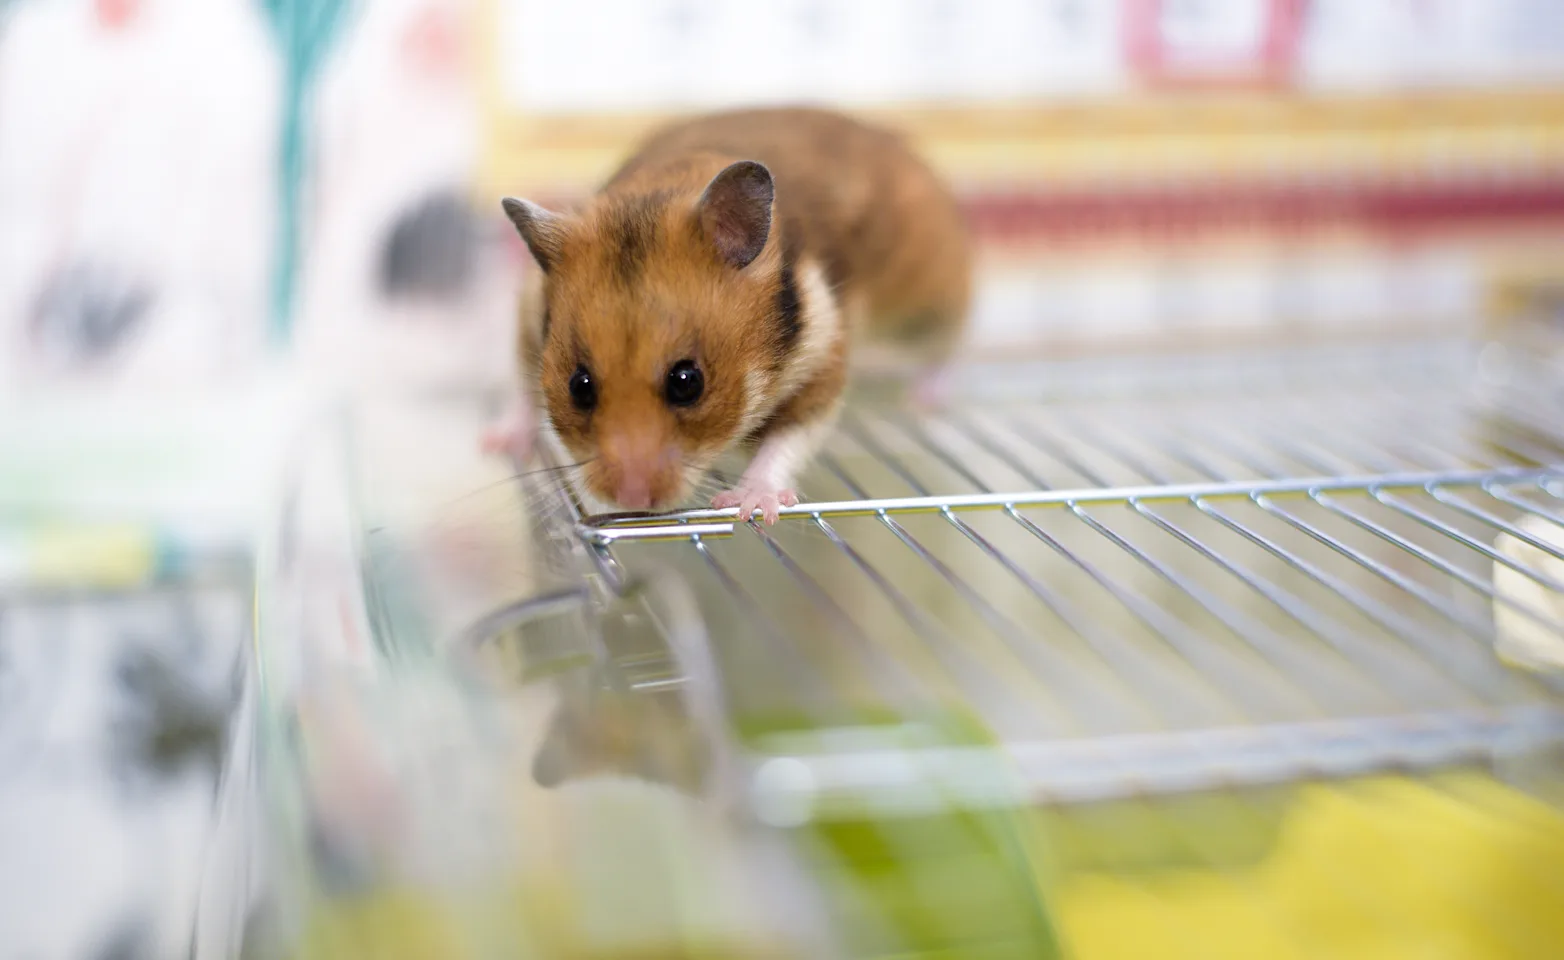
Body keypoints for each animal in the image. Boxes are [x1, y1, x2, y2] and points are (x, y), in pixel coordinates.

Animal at [486, 107, 971, 523]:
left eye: (687, 382)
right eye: (579, 386)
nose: (632, 500)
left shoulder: (823, 361)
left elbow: (787, 438)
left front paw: (748, 507)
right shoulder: (528, 312)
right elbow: (521, 390)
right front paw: (497, 442)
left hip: (929, 300)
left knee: (950, 342)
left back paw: (922, 397)